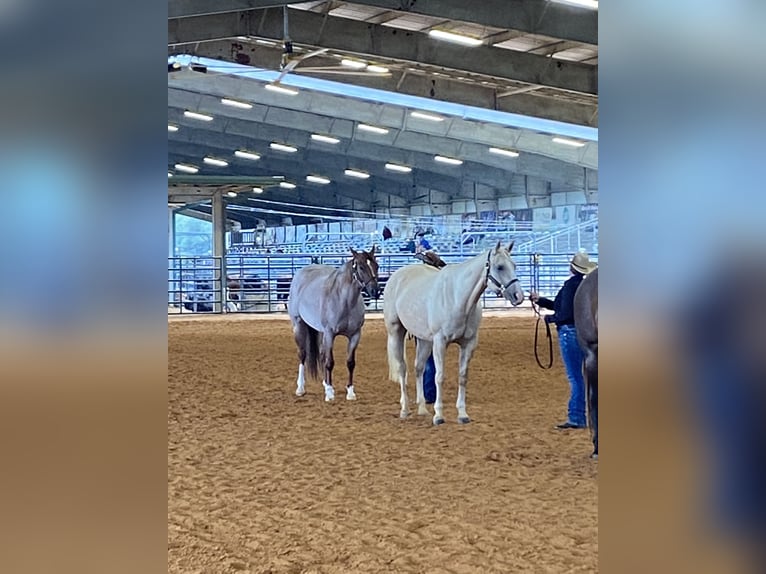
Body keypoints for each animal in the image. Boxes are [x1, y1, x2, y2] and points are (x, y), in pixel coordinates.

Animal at [288, 246, 379, 402]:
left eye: (376, 266)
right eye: (361, 267)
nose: (376, 291)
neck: (345, 301)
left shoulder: (355, 335)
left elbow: (350, 363)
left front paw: (350, 392)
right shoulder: (330, 334)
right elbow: (330, 362)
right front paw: (330, 393)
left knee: (321, 354)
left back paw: (325, 383)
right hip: (299, 325)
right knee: (303, 354)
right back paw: (301, 388)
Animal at [383, 241, 525, 424]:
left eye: (514, 265)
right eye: (500, 267)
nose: (519, 296)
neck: (458, 298)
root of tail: (396, 276)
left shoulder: (468, 344)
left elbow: (463, 376)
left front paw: (462, 414)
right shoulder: (440, 342)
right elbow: (439, 377)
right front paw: (438, 415)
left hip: (424, 340)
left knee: (419, 368)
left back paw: (422, 409)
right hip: (396, 332)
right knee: (402, 369)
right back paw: (405, 409)